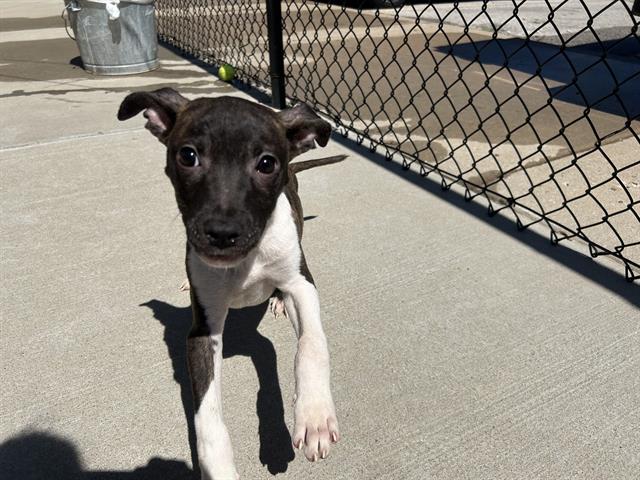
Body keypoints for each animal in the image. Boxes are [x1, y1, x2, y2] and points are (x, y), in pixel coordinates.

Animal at [117, 88, 342, 478]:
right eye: (188, 156)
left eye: (266, 164)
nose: (222, 234)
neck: (246, 263)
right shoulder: (203, 331)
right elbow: (206, 412)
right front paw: (219, 466)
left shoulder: (302, 283)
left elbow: (312, 343)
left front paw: (314, 415)